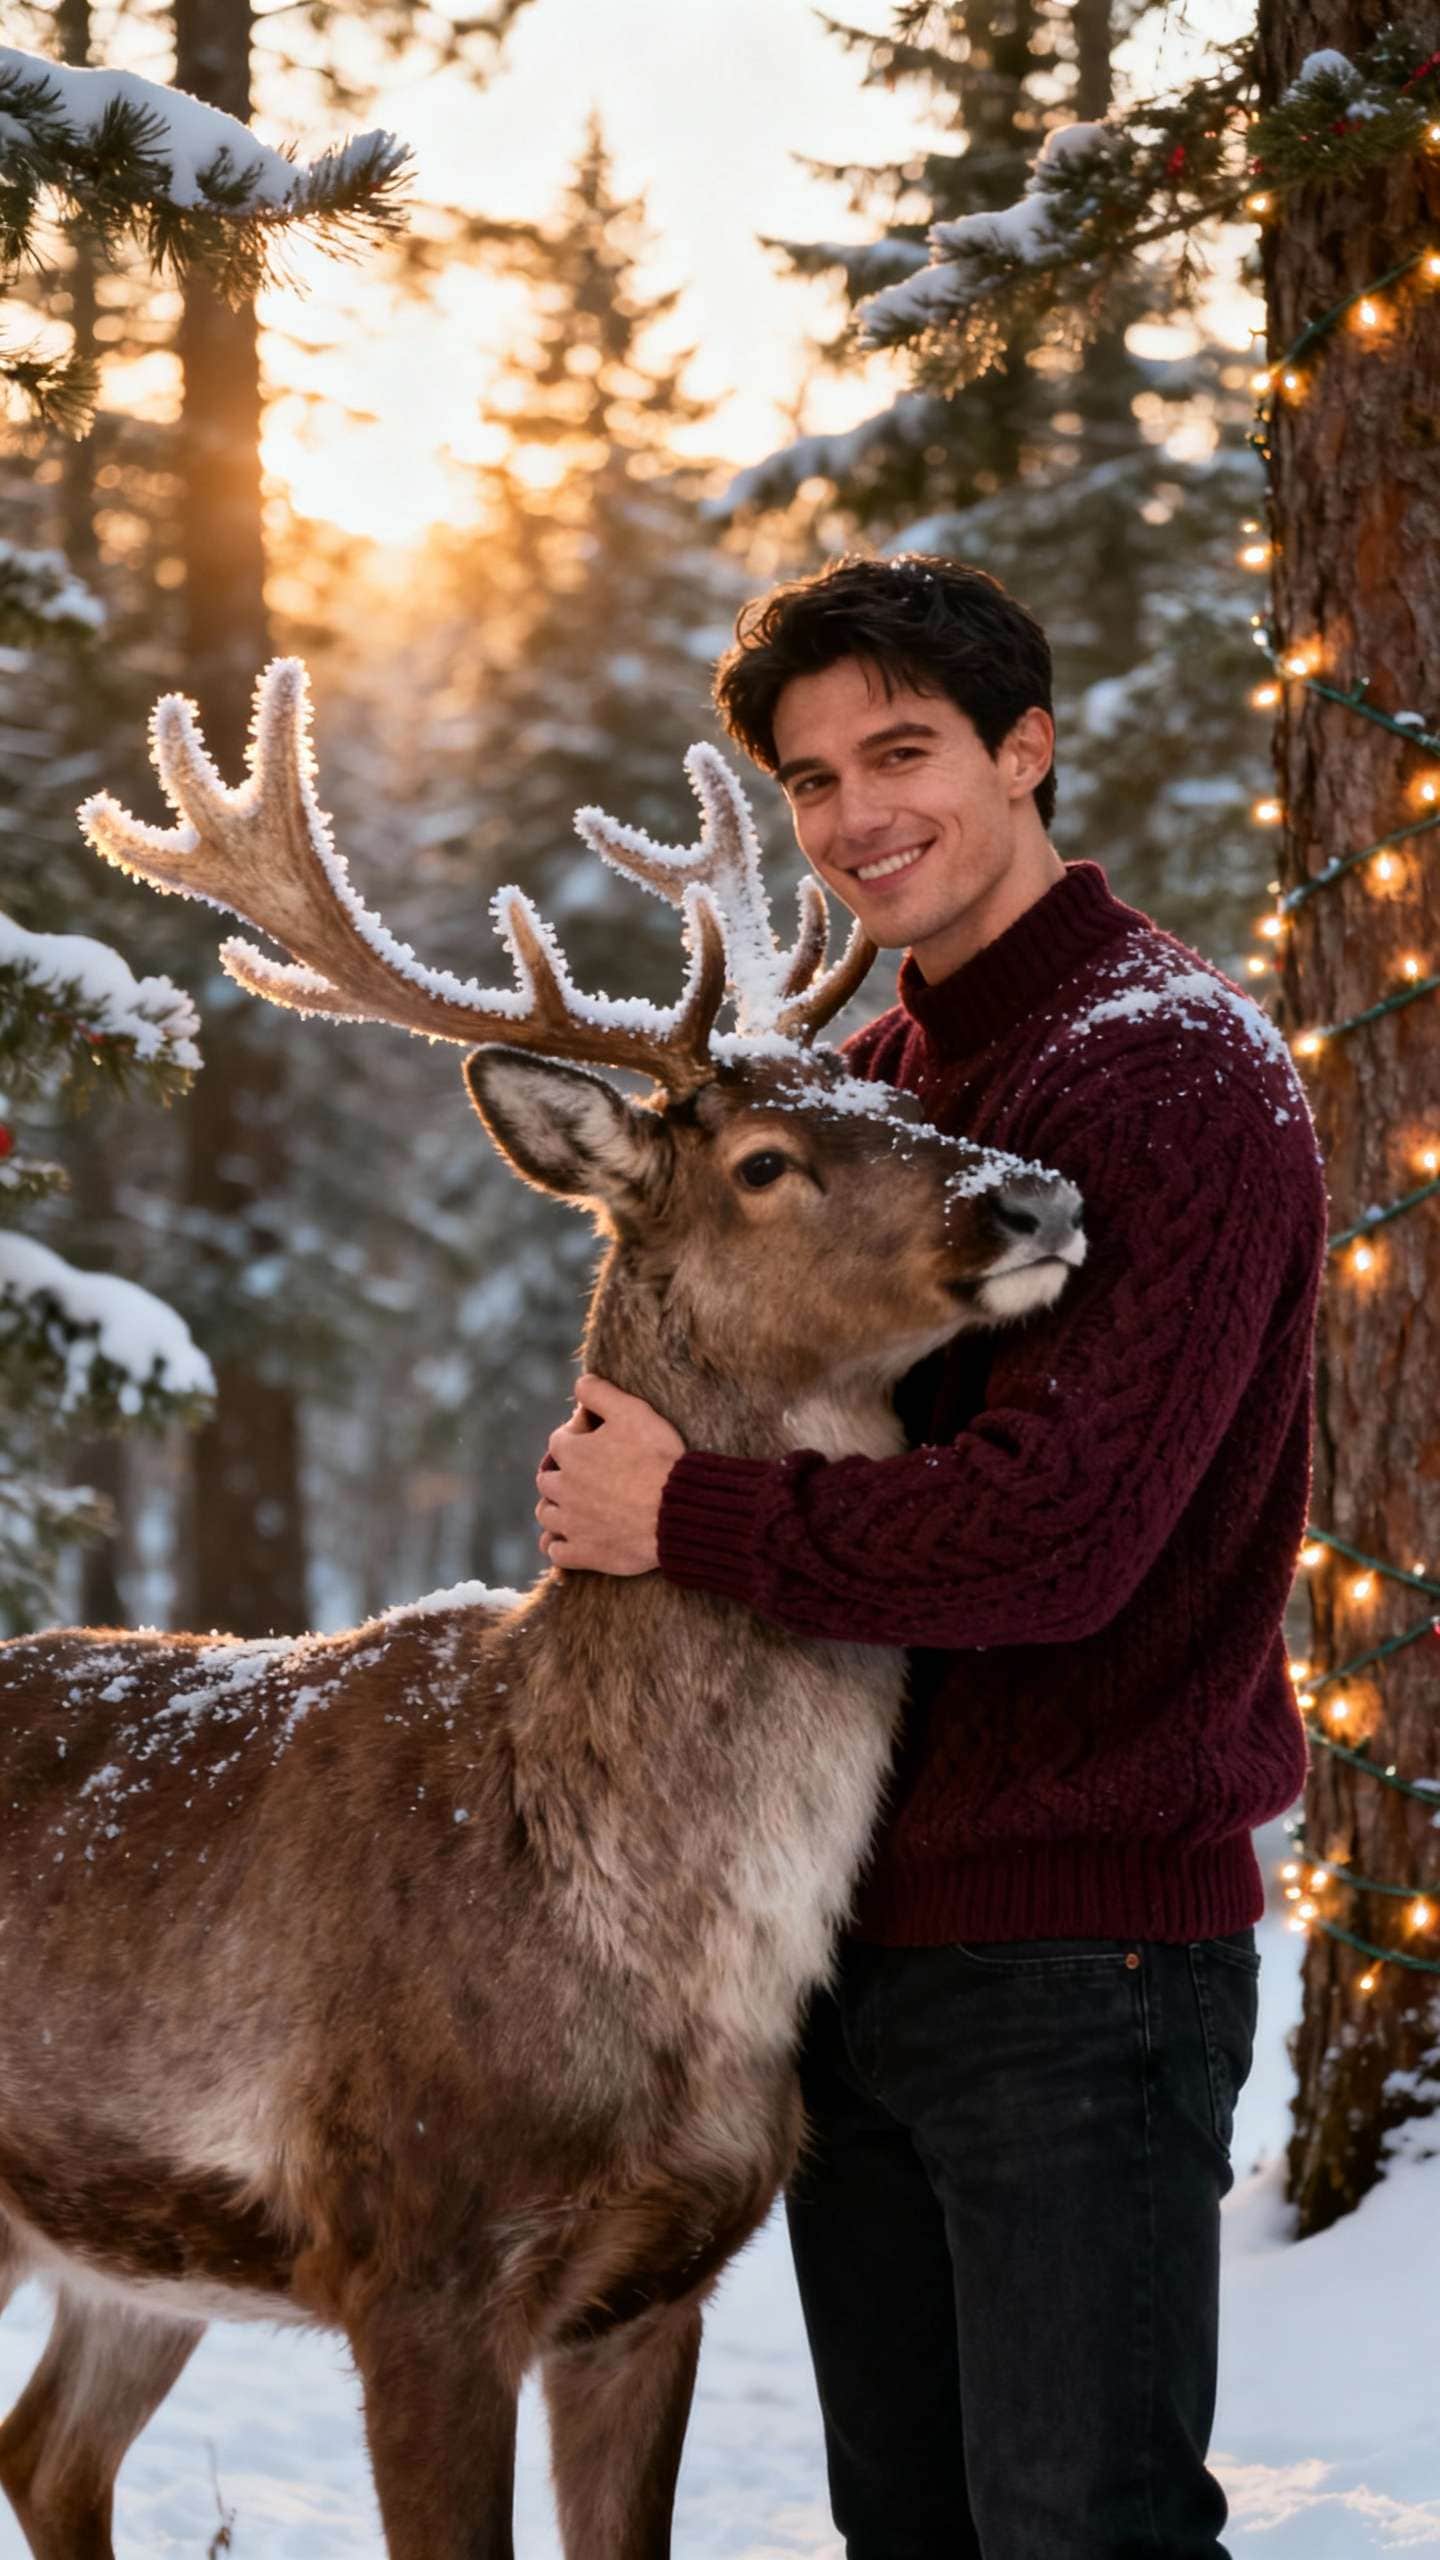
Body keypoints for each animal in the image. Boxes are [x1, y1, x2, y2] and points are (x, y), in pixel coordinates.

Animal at [0, 659, 1086, 2560]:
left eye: (895, 1097)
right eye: (764, 1162)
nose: (1028, 1194)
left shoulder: (663, 2281)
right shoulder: (414, 2258)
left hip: (134, 2261)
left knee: (49, 2453)